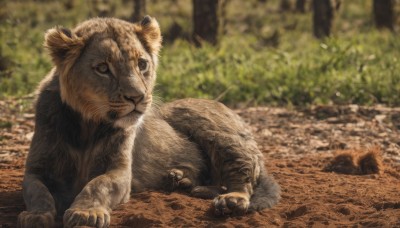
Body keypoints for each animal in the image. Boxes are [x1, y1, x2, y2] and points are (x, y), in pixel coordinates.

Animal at [18, 16, 282, 228]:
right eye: (103, 68)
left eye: (142, 64)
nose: (137, 97)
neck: (88, 126)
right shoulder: (36, 169)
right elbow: (37, 192)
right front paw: (36, 215)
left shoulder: (120, 171)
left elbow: (98, 184)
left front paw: (86, 212)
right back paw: (184, 182)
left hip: (216, 132)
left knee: (243, 178)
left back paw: (230, 199)